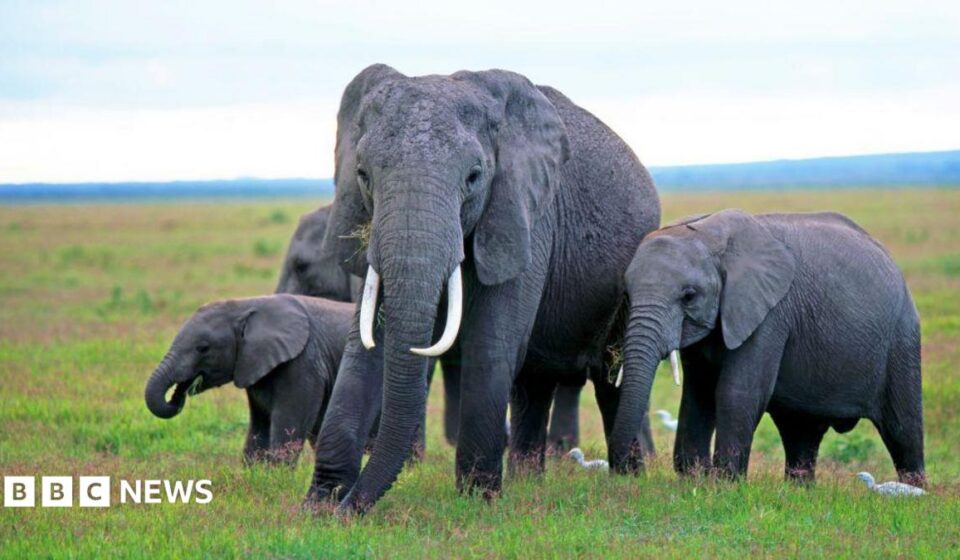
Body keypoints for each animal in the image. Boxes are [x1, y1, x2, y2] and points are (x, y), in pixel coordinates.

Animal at [144, 294, 354, 466]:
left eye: (203, 348)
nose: (177, 394)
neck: (245, 305)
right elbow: (258, 429)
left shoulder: (304, 364)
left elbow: (287, 428)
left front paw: (277, 478)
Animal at [609, 209, 925, 487]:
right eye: (627, 293)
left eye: (689, 296)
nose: (623, 472)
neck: (709, 233)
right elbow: (698, 394)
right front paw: (694, 478)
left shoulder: (770, 313)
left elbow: (736, 392)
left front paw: (724, 485)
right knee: (801, 430)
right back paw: (800, 490)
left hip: (902, 337)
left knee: (903, 428)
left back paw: (915, 492)